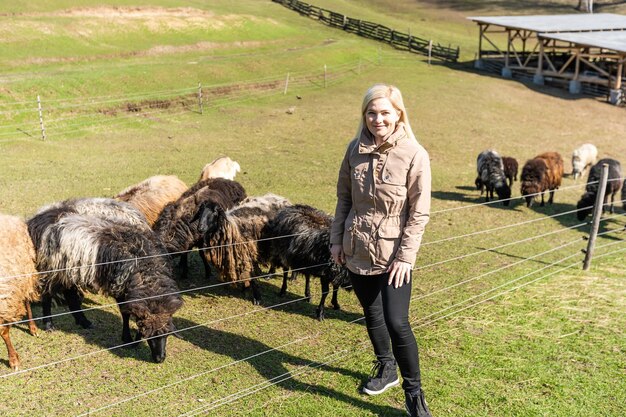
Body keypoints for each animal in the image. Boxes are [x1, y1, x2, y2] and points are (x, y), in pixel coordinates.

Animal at [0, 214, 40, 370]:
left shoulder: (6, 302)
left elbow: (4, 331)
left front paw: (13, 360)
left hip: (25, 274)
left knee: (27, 300)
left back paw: (33, 328)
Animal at [28, 208, 182, 360]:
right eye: (149, 335)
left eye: (167, 335)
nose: (160, 359)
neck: (147, 269)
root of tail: (38, 220)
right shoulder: (120, 286)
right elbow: (125, 314)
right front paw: (127, 339)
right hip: (52, 269)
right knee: (47, 295)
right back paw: (49, 324)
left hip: (69, 272)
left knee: (70, 295)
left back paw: (84, 322)